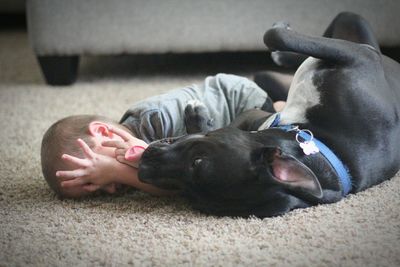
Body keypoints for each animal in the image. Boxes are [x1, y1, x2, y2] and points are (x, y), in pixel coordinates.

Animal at [138, 12, 400, 218]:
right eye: (188, 194)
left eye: (197, 161)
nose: (143, 166)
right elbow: (279, 37)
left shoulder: (361, 54)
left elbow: (275, 34)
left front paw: (196, 117)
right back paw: (283, 57)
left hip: (353, 30)